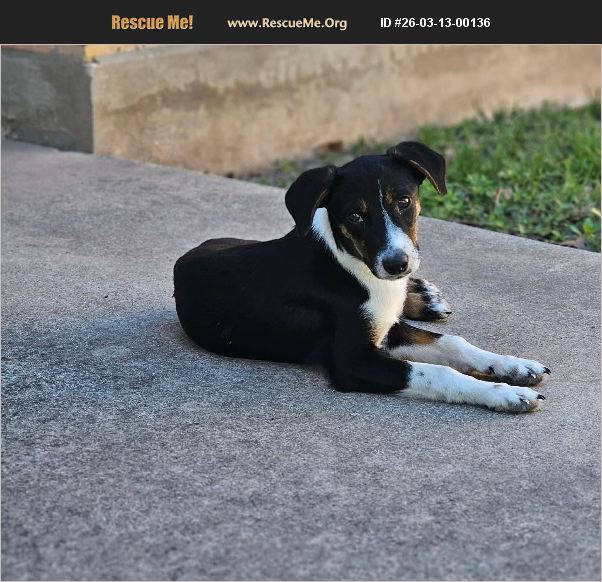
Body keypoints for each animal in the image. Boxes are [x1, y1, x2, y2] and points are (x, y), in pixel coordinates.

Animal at [174, 141, 550, 413]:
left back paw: (424, 296)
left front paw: (513, 366)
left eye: (404, 201)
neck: (357, 267)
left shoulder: (387, 327)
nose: (397, 265)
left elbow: (453, 343)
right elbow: (438, 371)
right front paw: (504, 394)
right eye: (355, 216)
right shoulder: (353, 361)